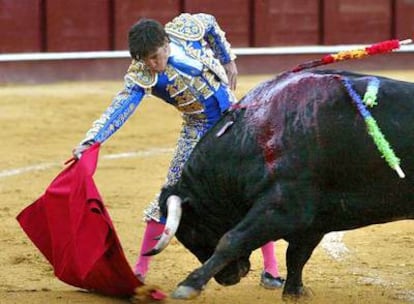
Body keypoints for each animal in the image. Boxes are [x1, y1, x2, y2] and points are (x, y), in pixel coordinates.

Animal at [150, 69, 412, 300]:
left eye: (192, 230)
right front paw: (295, 293)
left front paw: (188, 285)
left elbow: (232, 239)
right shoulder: (312, 222)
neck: (255, 135)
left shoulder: (284, 207)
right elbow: (296, 255)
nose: (227, 278)